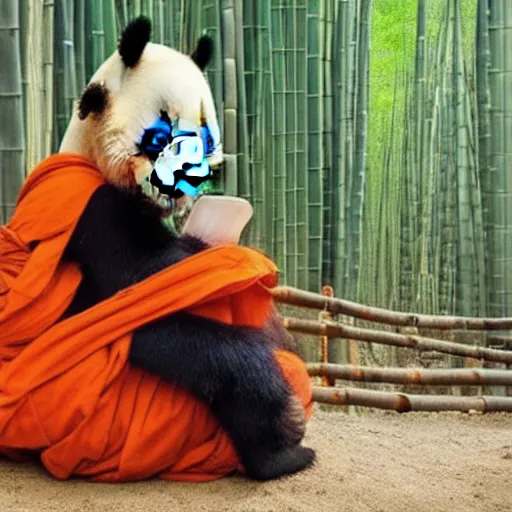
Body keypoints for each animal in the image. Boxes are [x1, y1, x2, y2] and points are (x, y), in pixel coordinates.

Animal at [58, 16, 316, 480]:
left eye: (207, 139)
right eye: (167, 139)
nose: (193, 180)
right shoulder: (91, 212)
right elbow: (144, 273)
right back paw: (282, 450)